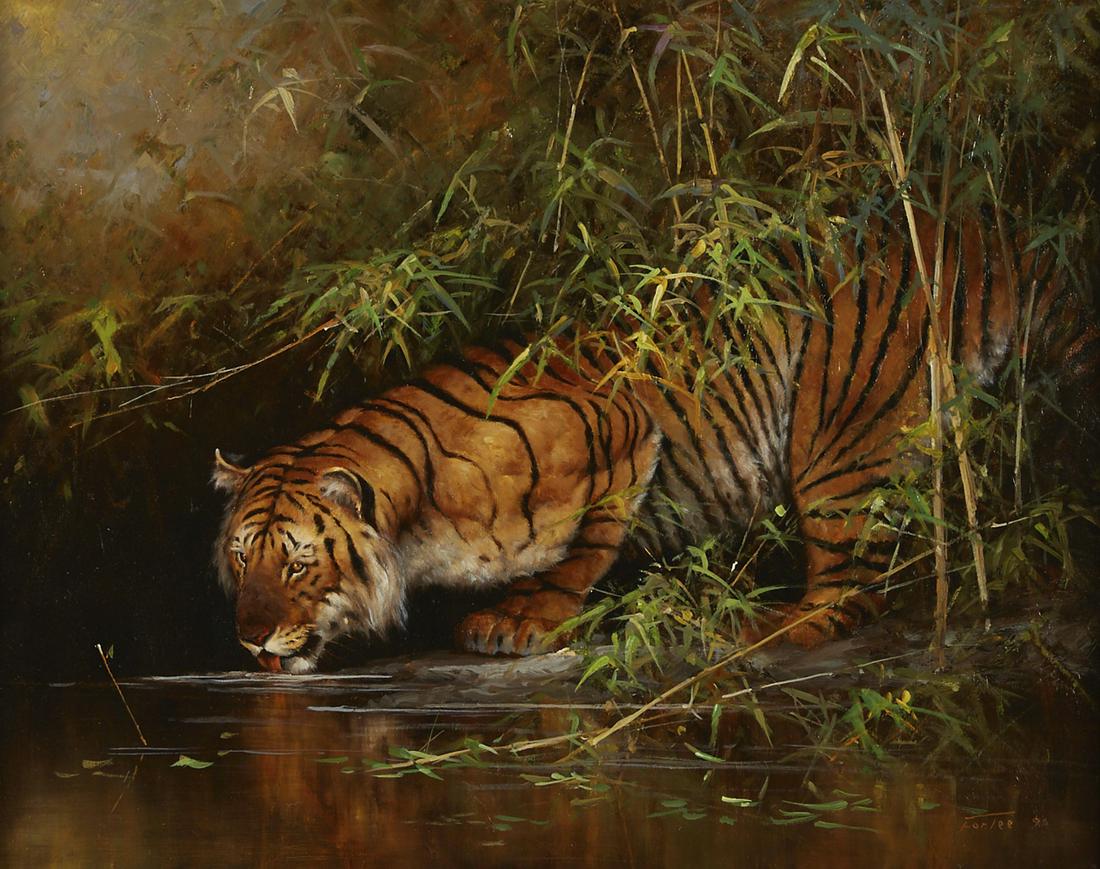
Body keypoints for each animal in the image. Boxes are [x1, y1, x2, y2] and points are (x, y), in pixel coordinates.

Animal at [213, 214, 1096, 673]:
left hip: (840, 443)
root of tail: (985, 229)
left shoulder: (623, 434)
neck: (411, 530)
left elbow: (584, 549)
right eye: (240, 561)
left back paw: (743, 629)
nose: (249, 635)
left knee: (847, 592)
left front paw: (523, 618)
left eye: (298, 563)